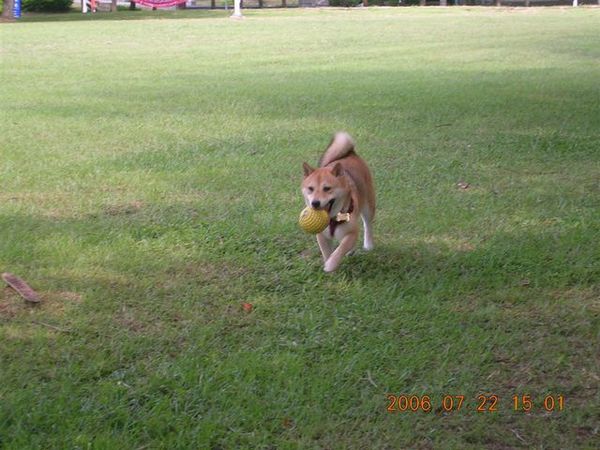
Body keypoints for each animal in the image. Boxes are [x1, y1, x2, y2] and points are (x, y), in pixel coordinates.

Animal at [300, 130, 376, 270]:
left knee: (367, 224)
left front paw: (331, 265)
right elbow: (327, 252)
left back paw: (368, 244)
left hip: (368, 204)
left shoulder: (352, 232)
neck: (332, 220)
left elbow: (340, 250)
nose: (315, 203)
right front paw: (328, 262)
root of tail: (351, 153)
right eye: (310, 188)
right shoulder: (321, 236)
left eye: (327, 188)